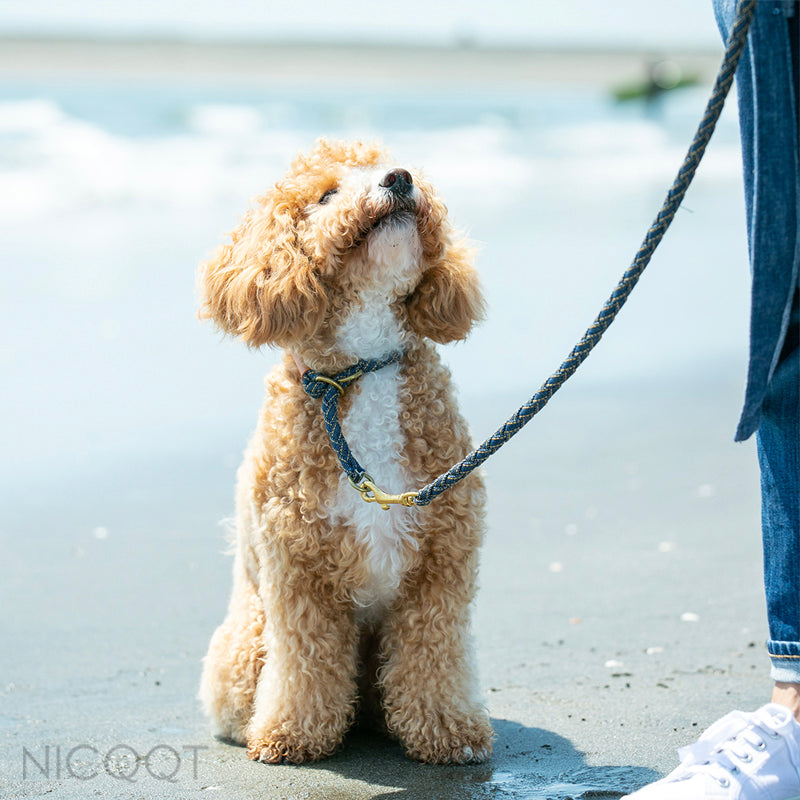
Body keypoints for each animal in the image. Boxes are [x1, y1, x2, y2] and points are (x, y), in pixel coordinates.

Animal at [197, 141, 490, 764]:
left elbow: (435, 656)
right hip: (246, 638)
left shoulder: (442, 566)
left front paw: (448, 730)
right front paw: (292, 732)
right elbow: (306, 664)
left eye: (389, 164)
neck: (365, 364)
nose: (399, 179)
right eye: (327, 194)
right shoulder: (298, 574)